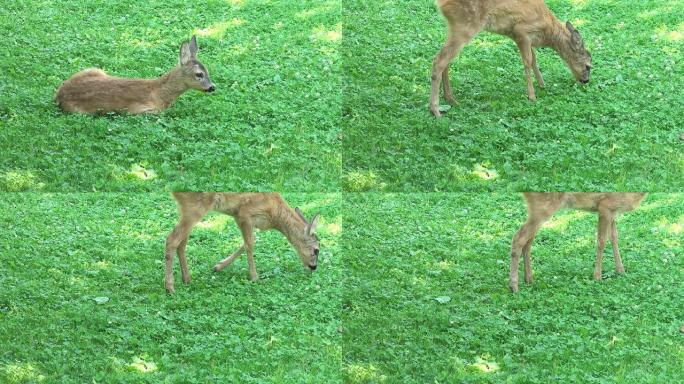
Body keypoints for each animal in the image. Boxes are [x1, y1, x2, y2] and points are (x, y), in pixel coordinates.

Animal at [57, 34, 215, 114]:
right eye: (199, 74)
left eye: (207, 71)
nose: (212, 87)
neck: (160, 93)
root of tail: (58, 95)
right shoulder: (138, 110)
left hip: (94, 69)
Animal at [164, 192, 320, 294]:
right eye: (316, 250)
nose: (313, 267)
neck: (275, 214)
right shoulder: (245, 213)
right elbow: (250, 244)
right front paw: (254, 277)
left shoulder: (239, 217)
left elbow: (247, 243)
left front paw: (218, 266)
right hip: (195, 206)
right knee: (172, 239)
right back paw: (170, 287)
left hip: (187, 210)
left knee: (181, 243)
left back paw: (186, 279)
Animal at [430, 0, 592, 117]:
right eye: (587, 66)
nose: (585, 81)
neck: (548, 32)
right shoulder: (522, 31)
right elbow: (527, 62)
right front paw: (532, 96)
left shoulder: (520, 37)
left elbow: (534, 59)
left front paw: (542, 84)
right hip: (465, 25)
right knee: (439, 60)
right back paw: (436, 111)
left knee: (446, 60)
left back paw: (451, 99)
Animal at [508, 194, 648, 292]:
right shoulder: (606, 205)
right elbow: (601, 241)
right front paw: (597, 277)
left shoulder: (613, 210)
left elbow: (614, 237)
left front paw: (621, 271)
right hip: (542, 206)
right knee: (519, 237)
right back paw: (514, 286)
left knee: (528, 241)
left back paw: (528, 279)